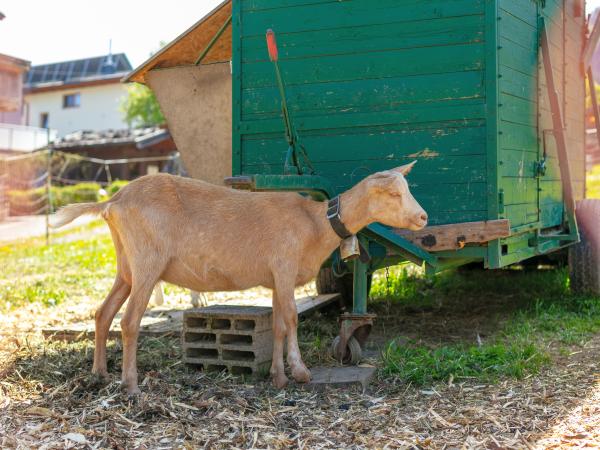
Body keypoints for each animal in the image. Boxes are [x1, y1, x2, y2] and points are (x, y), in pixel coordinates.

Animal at [51, 163, 426, 394]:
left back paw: (99, 374)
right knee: (129, 321)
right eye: (393, 194)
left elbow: (279, 323)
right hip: (147, 263)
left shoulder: (276, 277)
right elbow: (292, 319)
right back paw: (130, 385)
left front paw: (278, 376)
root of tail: (113, 201)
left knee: (103, 313)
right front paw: (300, 372)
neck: (316, 222)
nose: (422, 217)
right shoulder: (284, 265)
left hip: (126, 266)